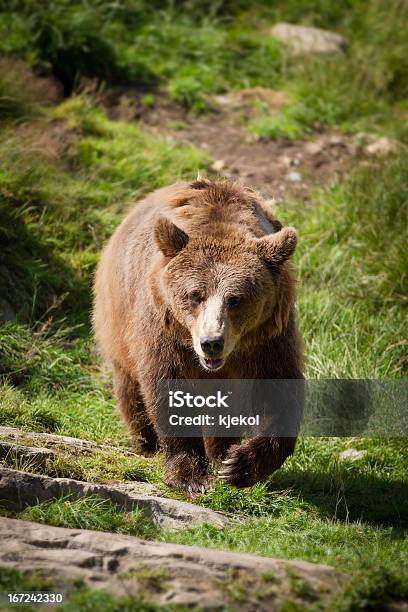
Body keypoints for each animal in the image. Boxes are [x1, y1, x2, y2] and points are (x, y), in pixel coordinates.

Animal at [92, 177, 302, 492]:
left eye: (235, 299)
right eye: (195, 295)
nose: (211, 343)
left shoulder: (268, 336)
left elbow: (279, 390)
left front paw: (238, 465)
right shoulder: (164, 330)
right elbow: (168, 386)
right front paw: (190, 476)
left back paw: (219, 453)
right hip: (118, 319)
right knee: (129, 386)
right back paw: (146, 442)